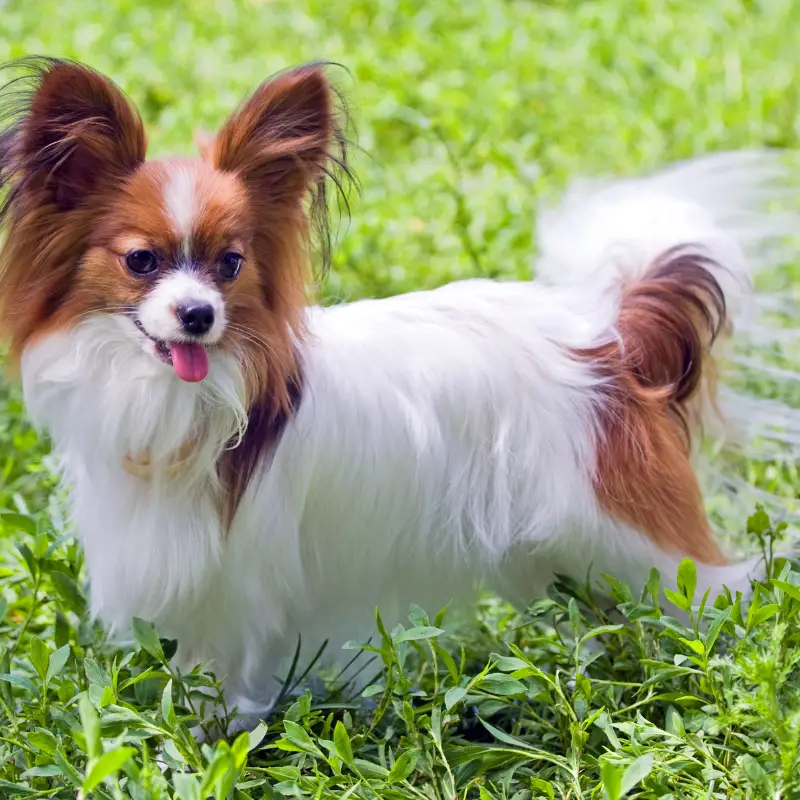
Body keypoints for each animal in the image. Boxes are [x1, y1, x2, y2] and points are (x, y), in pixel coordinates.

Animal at [1, 59, 800, 728]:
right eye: (141, 261)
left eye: (230, 265)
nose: (198, 315)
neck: (177, 396)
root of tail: (608, 335)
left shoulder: (240, 592)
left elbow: (223, 693)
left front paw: (212, 745)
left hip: (638, 540)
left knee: (718, 592)